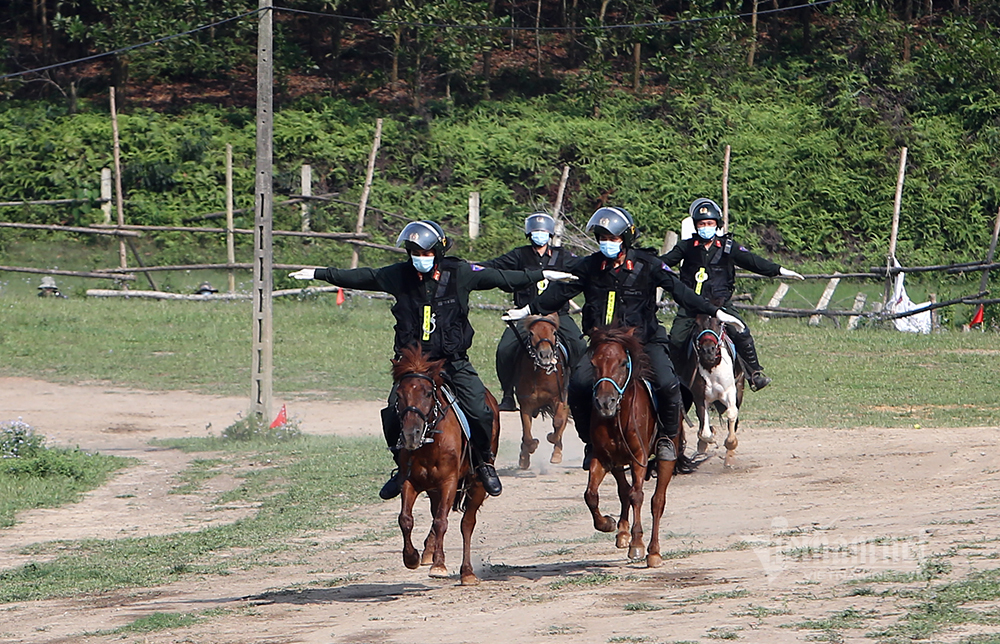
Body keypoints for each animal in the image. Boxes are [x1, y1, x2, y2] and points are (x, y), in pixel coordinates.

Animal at [390, 344, 500, 588]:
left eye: (427, 393)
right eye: (399, 395)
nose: (411, 435)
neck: (431, 440)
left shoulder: (449, 482)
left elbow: (442, 521)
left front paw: (439, 566)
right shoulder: (410, 481)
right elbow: (406, 519)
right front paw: (411, 557)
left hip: (476, 484)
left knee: (466, 523)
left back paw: (467, 572)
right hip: (433, 489)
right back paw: (428, 552)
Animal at [516, 312, 572, 468]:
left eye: (554, 332)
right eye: (531, 333)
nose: (545, 355)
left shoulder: (558, 398)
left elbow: (558, 421)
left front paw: (552, 438)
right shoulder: (526, 404)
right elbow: (526, 432)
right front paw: (529, 449)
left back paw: (557, 453)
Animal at [584, 328, 688, 568]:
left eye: (623, 363)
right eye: (593, 363)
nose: (605, 403)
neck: (617, 417)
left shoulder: (638, 457)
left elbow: (637, 496)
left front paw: (638, 544)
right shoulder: (602, 458)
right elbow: (591, 495)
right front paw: (608, 523)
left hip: (665, 456)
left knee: (657, 501)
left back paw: (654, 552)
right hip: (616, 462)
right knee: (623, 490)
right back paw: (622, 532)